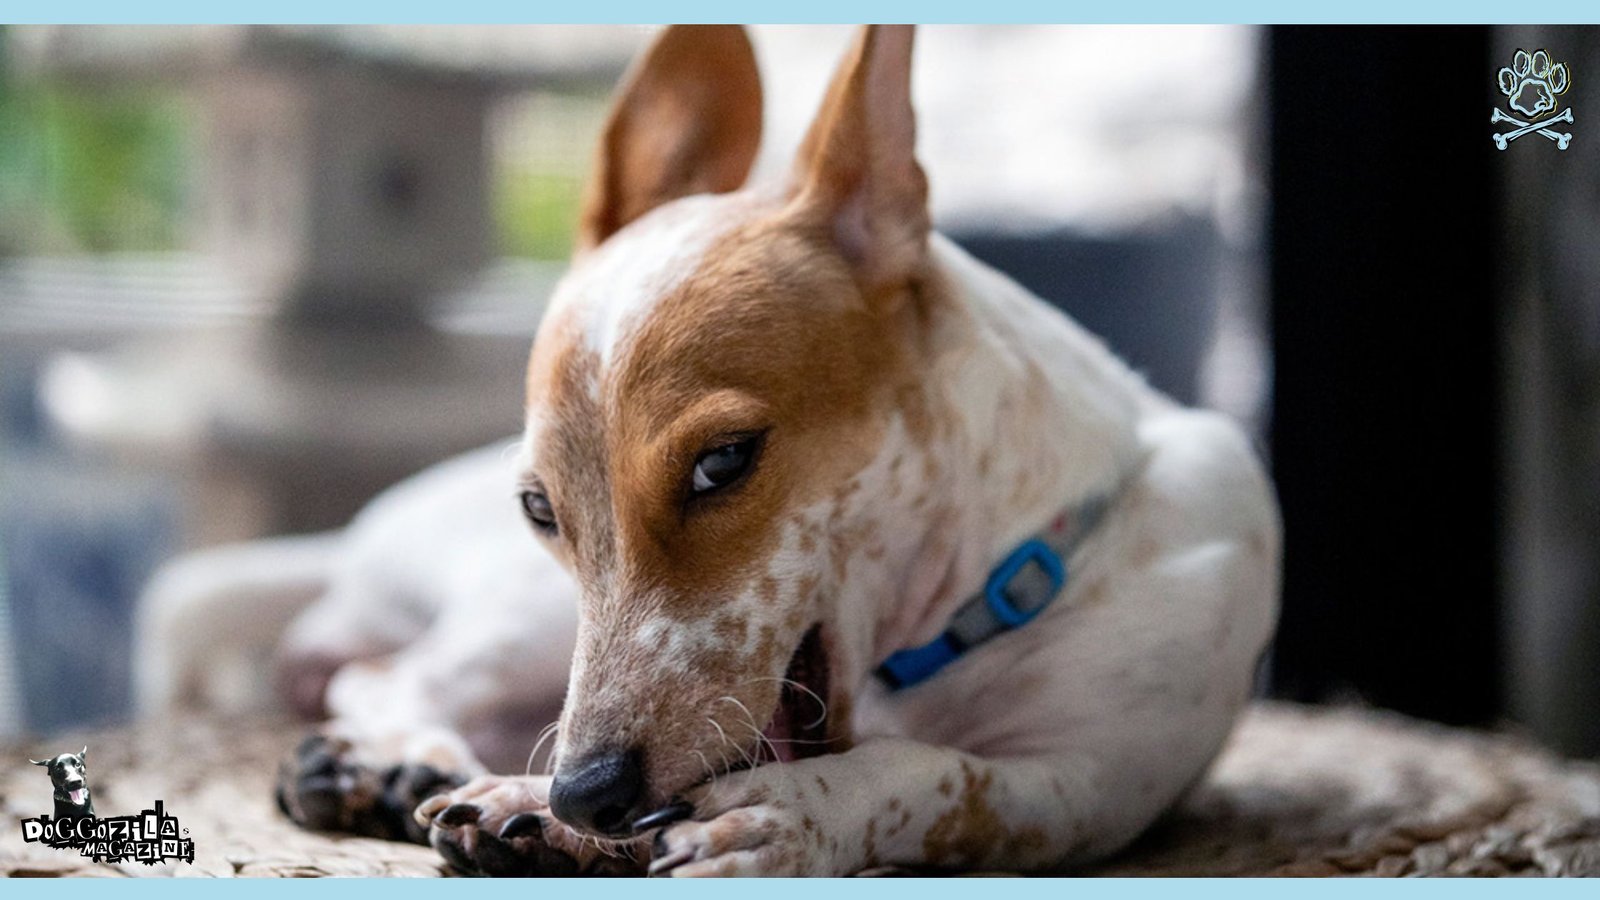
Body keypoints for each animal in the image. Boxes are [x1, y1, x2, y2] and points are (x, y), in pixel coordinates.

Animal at [144, 24, 1280, 871]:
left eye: (724, 461)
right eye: (540, 508)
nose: (586, 798)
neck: (1003, 574)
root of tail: (353, 543)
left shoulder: (1082, 786)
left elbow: (929, 773)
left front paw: (783, 814)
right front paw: (528, 807)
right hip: (522, 625)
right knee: (384, 679)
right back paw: (389, 765)